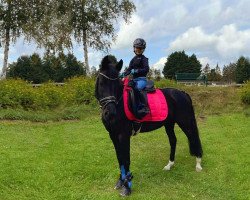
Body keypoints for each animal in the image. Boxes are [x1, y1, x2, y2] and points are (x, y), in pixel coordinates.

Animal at [94, 55, 202, 196]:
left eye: (117, 85)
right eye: (102, 82)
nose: (110, 113)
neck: (120, 104)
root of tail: (182, 92)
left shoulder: (123, 135)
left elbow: (126, 159)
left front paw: (127, 186)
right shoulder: (112, 135)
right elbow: (120, 158)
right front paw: (120, 181)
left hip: (185, 122)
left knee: (193, 137)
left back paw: (198, 164)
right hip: (169, 124)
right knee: (173, 140)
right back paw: (169, 165)